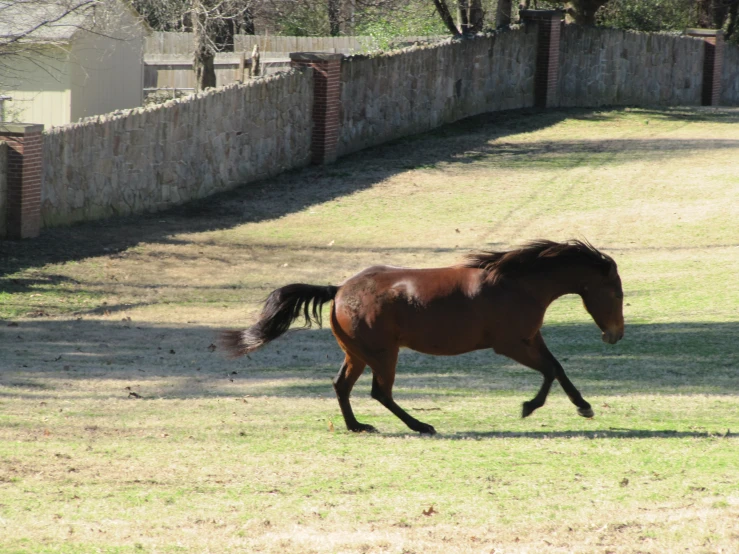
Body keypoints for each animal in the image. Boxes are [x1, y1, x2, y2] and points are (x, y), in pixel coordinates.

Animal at [221, 239, 624, 434]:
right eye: (616, 293)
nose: (615, 336)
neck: (517, 283)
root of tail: (339, 289)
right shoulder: (510, 344)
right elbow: (549, 371)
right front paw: (530, 406)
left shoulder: (530, 339)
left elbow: (557, 368)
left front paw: (583, 405)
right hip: (383, 355)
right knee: (380, 393)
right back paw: (421, 426)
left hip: (358, 354)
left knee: (342, 387)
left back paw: (357, 427)